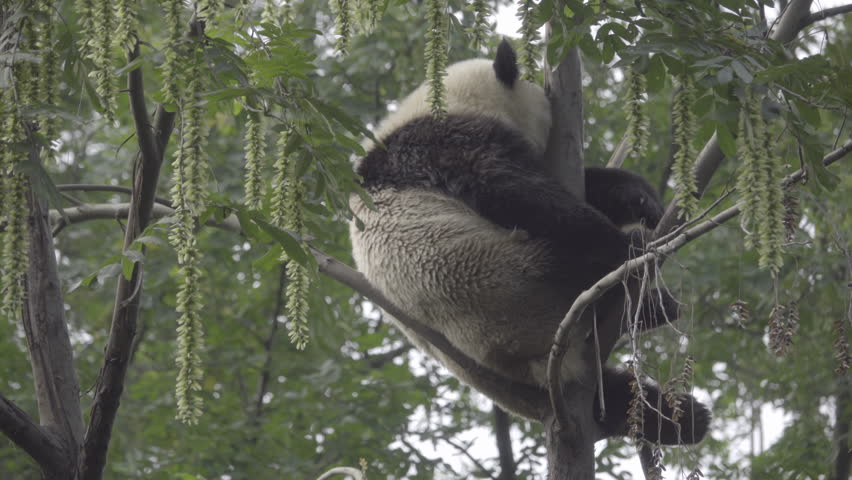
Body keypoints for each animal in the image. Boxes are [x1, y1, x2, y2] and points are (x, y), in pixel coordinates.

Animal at [349, 40, 710, 445]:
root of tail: (541, 368)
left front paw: (642, 199)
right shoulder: (442, 143)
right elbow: (513, 189)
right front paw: (629, 233)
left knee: (612, 400)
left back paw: (684, 412)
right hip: (518, 279)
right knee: (584, 264)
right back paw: (640, 269)